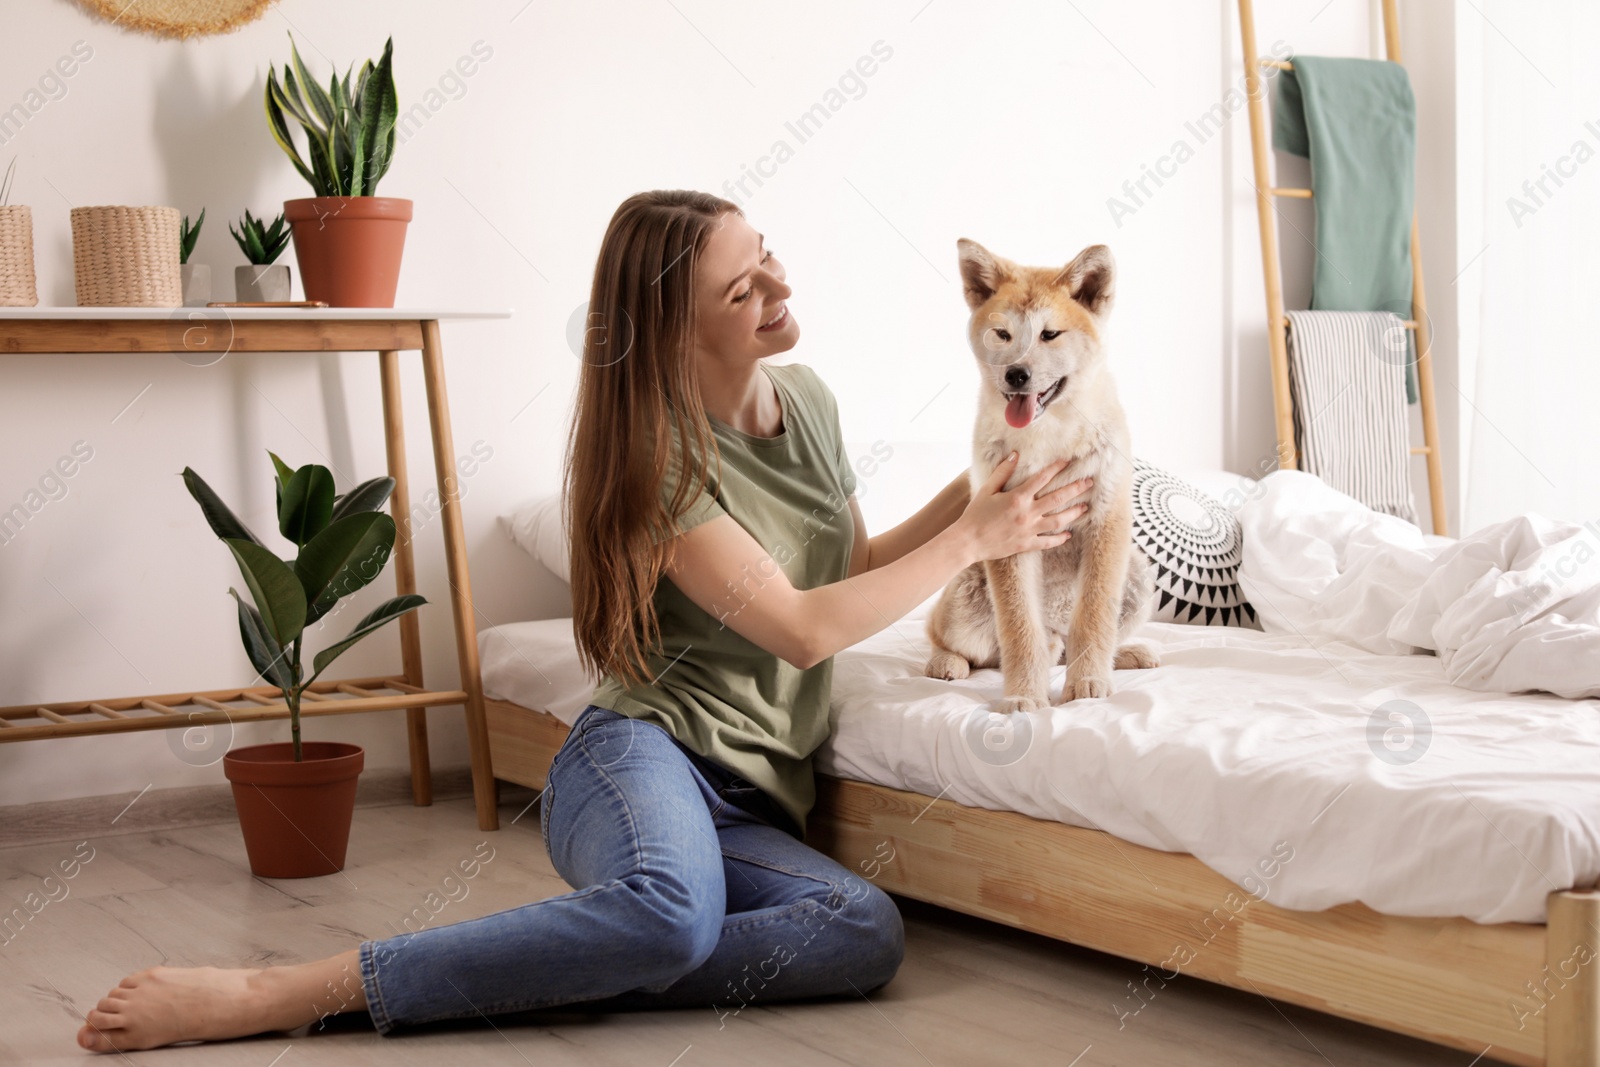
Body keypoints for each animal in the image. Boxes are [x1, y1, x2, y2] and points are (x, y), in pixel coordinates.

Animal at [928, 241, 1164, 710]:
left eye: (1049, 334)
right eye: (1003, 335)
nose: (1016, 374)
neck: (1048, 436)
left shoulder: (1106, 521)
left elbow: (1093, 621)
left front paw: (1088, 684)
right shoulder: (1007, 532)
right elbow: (1020, 632)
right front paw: (1024, 696)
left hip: (1137, 573)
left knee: (1072, 642)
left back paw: (1123, 653)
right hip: (965, 596)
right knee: (957, 642)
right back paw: (946, 662)